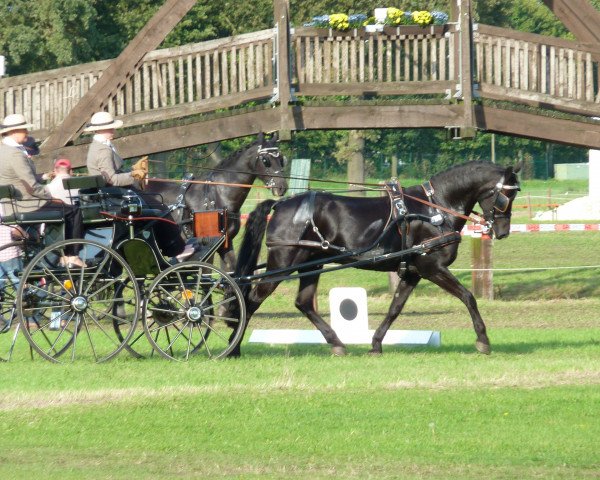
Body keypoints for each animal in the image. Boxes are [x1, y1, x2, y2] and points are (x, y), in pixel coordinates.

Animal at [145, 133, 286, 272]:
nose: (282, 187)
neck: (217, 196)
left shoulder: (225, 245)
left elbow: (230, 273)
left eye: (281, 159)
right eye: (266, 160)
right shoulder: (206, 247)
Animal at [230, 160, 520, 356]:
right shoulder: (432, 267)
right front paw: (483, 340)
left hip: (311, 263)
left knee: (303, 303)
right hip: (283, 263)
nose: (503, 231)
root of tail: (281, 204)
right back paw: (233, 347)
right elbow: (468, 297)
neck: (435, 208)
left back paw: (337, 344)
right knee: (252, 299)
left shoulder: (412, 272)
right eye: (507, 195)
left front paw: (376, 344)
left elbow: (395, 308)